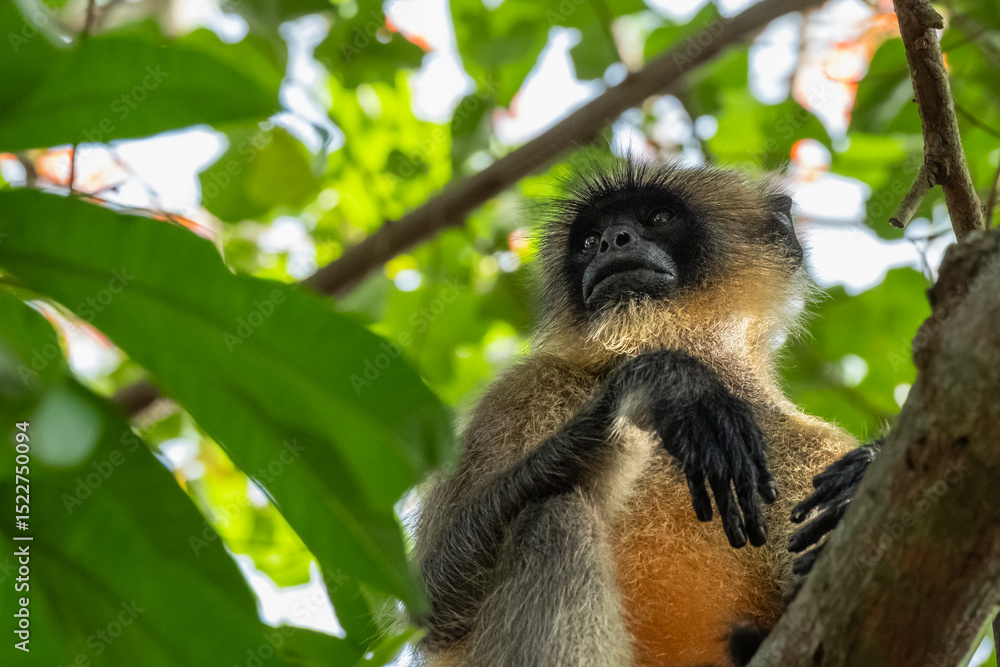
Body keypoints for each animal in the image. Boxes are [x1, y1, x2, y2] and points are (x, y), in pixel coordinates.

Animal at [413, 160, 872, 667]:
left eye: (658, 217)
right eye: (589, 240)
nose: (615, 241)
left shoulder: (805, 439)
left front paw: (856, 481)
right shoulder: (523, 389)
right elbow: (434, 597)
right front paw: (665, 384)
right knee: (554, 516)